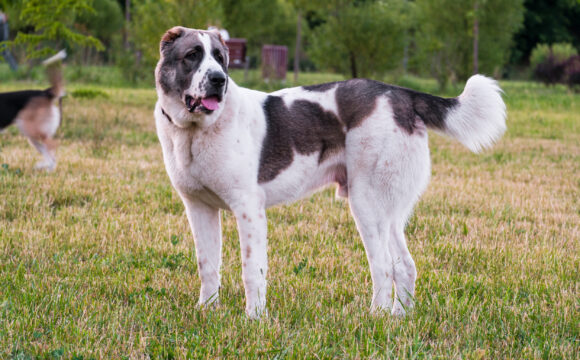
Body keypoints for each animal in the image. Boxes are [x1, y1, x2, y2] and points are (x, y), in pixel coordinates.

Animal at [155, 26, 508, 318]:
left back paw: (375, 318)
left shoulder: (248, 209)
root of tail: (401, 95)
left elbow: (251, 270)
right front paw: (206, 311)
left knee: (383, 266)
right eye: (192, 55)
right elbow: (207, 265)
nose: (219, 80)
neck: (196, 131)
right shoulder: (199, 208)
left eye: (220, 58)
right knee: (405, 266)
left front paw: (254, 319)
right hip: (388, 211)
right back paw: (399, 318)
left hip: (366, 203)